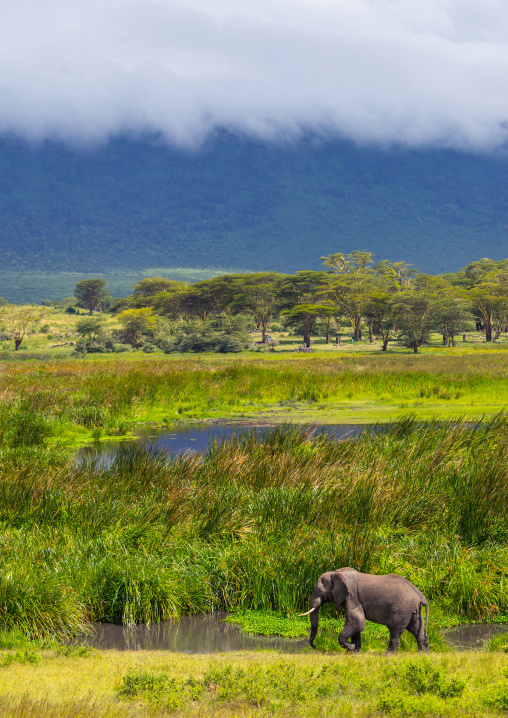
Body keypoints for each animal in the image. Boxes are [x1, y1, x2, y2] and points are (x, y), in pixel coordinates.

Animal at [300, 567, 429, 654]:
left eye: (320, 591)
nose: (315, 646)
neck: (337, 573)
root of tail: (421, 596)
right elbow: (356, 624)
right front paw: (354, 652)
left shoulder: (352, 597)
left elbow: (358, 622)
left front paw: (350, 648)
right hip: (413, 610)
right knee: (417, 630)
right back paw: (422, 654)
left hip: (402, 609)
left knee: (394, 630)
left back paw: (388, 655)